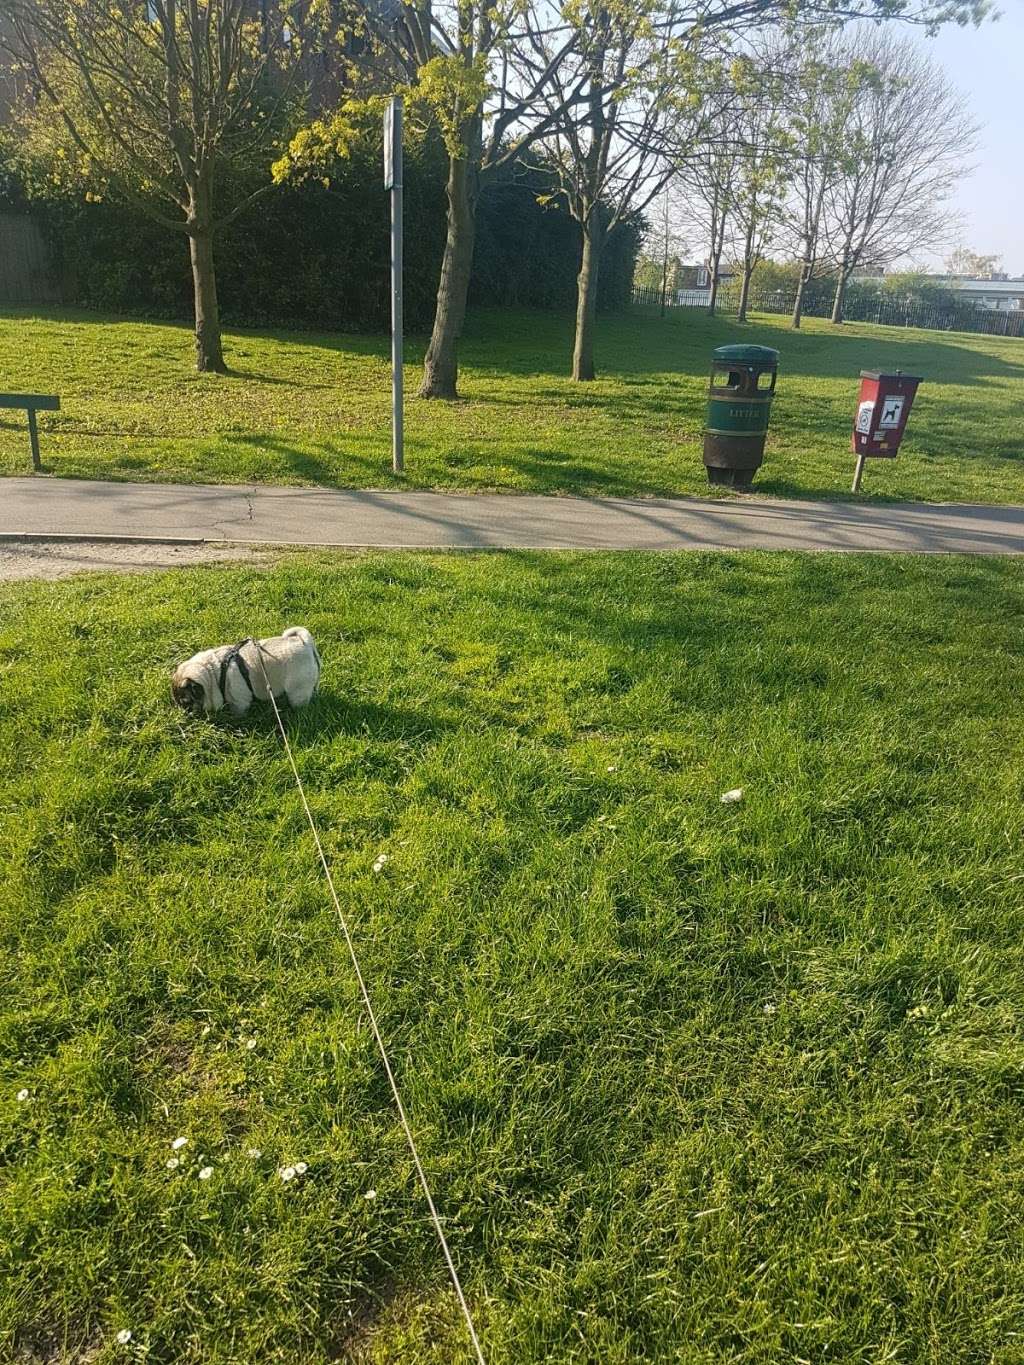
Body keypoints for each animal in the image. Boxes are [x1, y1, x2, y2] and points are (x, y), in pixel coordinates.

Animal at [172, 625, 322, 720]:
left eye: (186, 703)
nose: (184, 712)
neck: (214, 674)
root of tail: (304, 642)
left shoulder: (238, 702)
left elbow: (238, 712)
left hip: (298, 691)